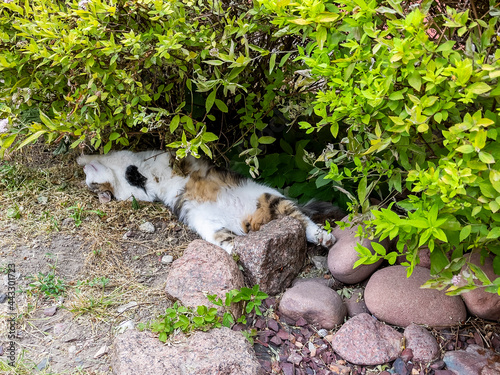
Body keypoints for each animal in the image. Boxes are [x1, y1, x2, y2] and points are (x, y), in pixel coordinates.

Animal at [78, 151, 336, 254]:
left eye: (90, 180)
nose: (85, 173)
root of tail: (246, 222)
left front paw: (81, 156)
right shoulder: (141, 193)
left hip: (269, 197)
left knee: (303, 221)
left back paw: (325, 237)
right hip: (210, 227)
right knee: (234, 246)